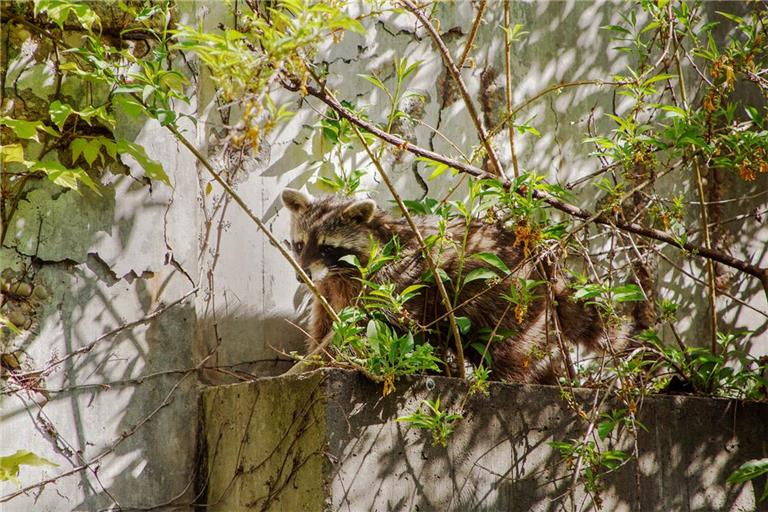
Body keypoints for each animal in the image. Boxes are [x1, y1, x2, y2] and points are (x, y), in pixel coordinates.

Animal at [280, 188, 628, 384]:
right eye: (299, 245)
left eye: (327, 248)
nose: (300, 276)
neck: (337, 273)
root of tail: (541, 261)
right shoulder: (328, 289)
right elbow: (326, 324)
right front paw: (312, 358)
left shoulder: (388, 282)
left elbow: (362, 327)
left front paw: (316, 364)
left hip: (508, 296)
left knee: (509, 347)